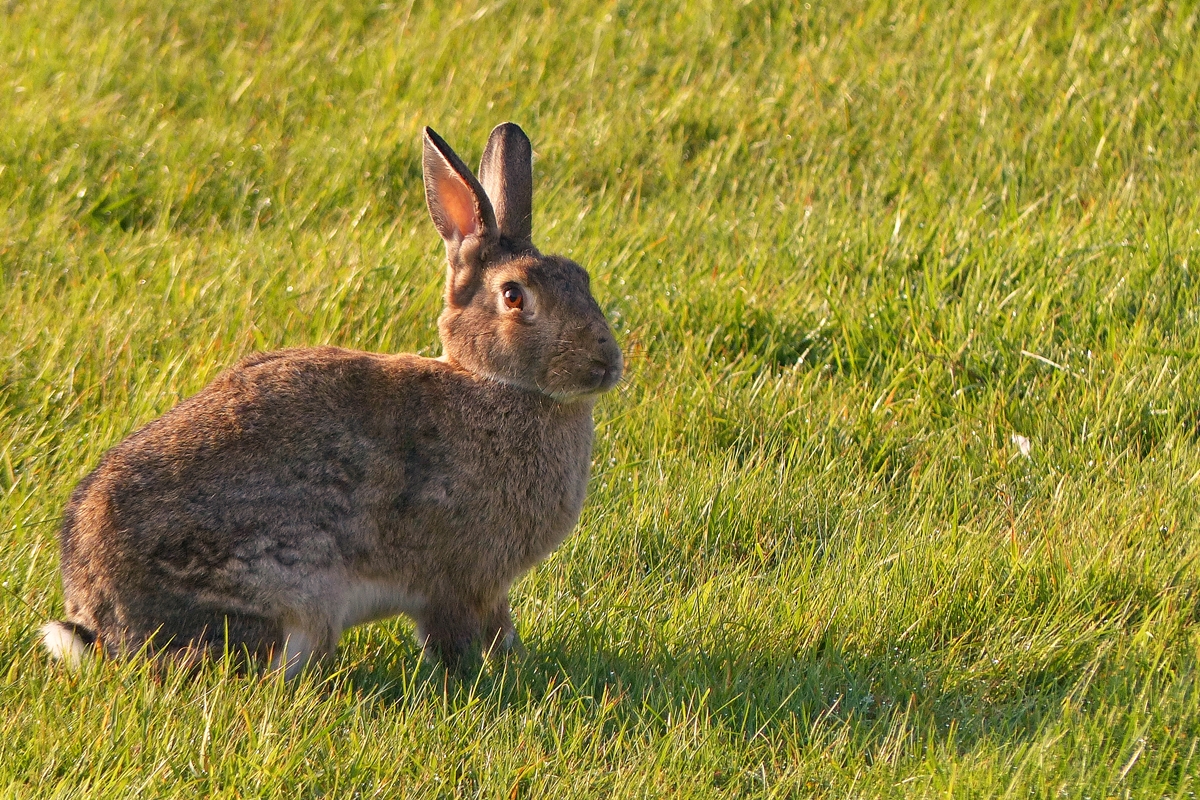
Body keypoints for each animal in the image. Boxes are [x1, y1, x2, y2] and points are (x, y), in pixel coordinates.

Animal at [42, 123, 624, 676]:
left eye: (582, 277)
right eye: (513, 296)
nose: (607, 364)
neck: (492, 382)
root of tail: (102, 625)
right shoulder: (457, 582)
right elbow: (458, 636)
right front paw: (488, 676)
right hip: (286, 592)